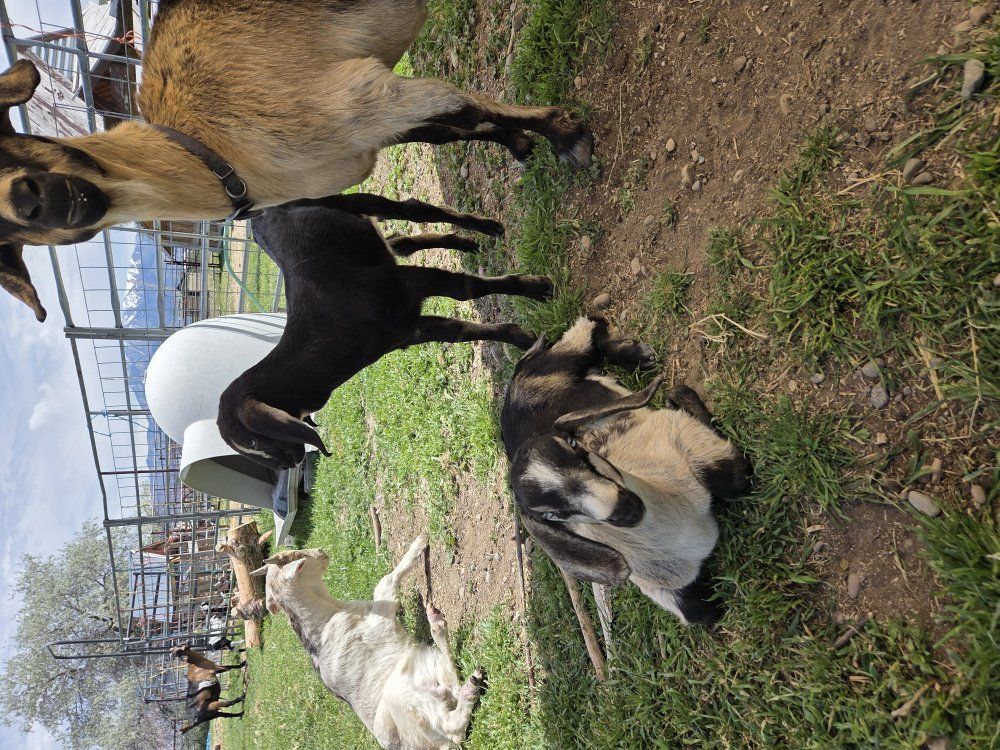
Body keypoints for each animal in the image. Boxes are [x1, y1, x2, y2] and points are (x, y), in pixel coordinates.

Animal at [0, 0, 592, 321]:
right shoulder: (353, 145)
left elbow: (461, 108)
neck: (211, 151)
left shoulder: (363, 96)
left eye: (10, 145)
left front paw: (565, 134)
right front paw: (515, 155)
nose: (31, 201)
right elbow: (449, 133)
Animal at [216, 196, 551, 472]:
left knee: (412, 210)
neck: (327, 330)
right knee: (398, 240)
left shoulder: (405, 283)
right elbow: (460, 331)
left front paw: (535, 288)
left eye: (254, 442)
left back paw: (484, 227)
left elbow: (467, 289)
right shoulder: (408, 330)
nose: (289, 465)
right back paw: (464, 242)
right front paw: (522, 337)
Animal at [250, 537, 485, 750]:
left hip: (429, 665)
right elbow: (386, 582)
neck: (327, 617)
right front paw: (419, 544)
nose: (321, 551)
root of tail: (436, 745)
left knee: (453, 685)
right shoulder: (382, 612)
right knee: (454, 726)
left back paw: (439, 628)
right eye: (298, 556)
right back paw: (468, 685)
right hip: (401, 696)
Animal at [501, 316, 752, 625]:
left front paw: (676, 396)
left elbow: (734, 481)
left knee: (584, 332)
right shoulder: (670, 591)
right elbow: (704, 612)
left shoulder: (680, 435)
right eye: (551, 514)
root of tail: (514, 380)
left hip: (561, 361)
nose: (624, 508)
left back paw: (634, 355)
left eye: (573, 444)